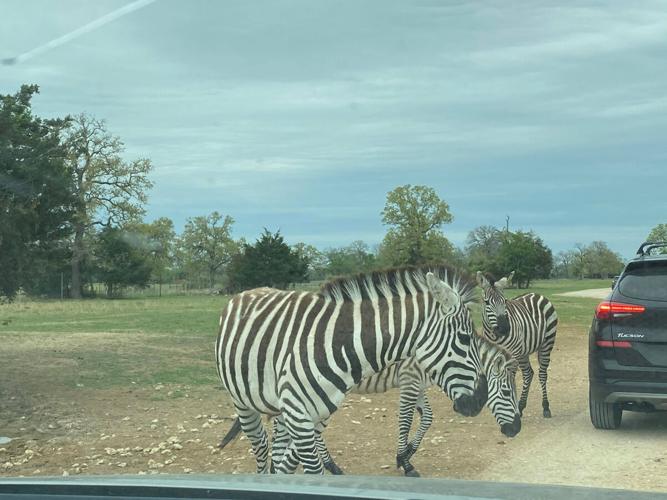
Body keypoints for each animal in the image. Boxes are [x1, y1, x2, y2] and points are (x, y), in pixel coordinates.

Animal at [266, 332, 520, 476]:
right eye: (507, 392)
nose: (515, 430)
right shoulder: (409, 381)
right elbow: (405, 421)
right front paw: (405, 462)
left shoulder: (419, 386)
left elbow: (427, 418)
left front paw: (407, 453)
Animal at [480, 272, 560, 420]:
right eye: (486, 302)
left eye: (505, 301)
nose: (504, 329)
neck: (495, 336)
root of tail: (537, 294)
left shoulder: (512, 354)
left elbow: (509, 378)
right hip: (523, 351)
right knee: (529, 373)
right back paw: (522, 405)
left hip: (546, 343)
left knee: (541, 374)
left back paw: (545, 407)